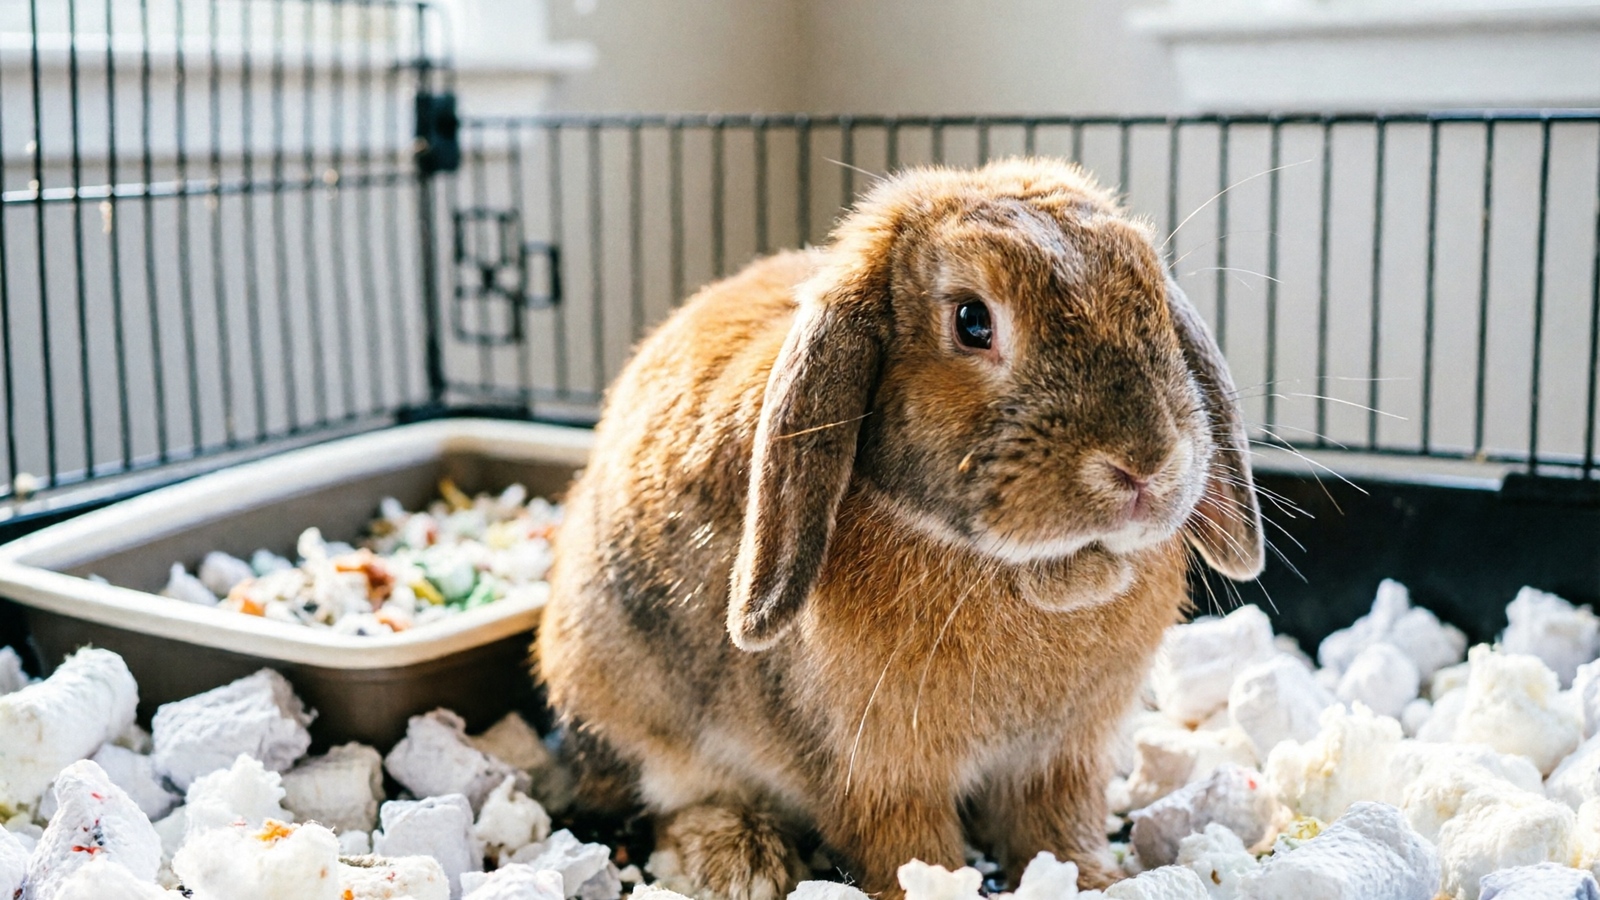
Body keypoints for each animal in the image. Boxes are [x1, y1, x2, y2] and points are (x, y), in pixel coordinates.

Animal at [536, 157, 1264, 899]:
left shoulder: (1063, 759)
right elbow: (906, 845)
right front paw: (937, 885)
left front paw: (1092, 880)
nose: (1144, 464)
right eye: (972, 321)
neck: (1049, 573)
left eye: (1150, 297)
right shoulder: (878, 771)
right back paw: (741, 859)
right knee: (670, 802)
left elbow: (1057, 828)